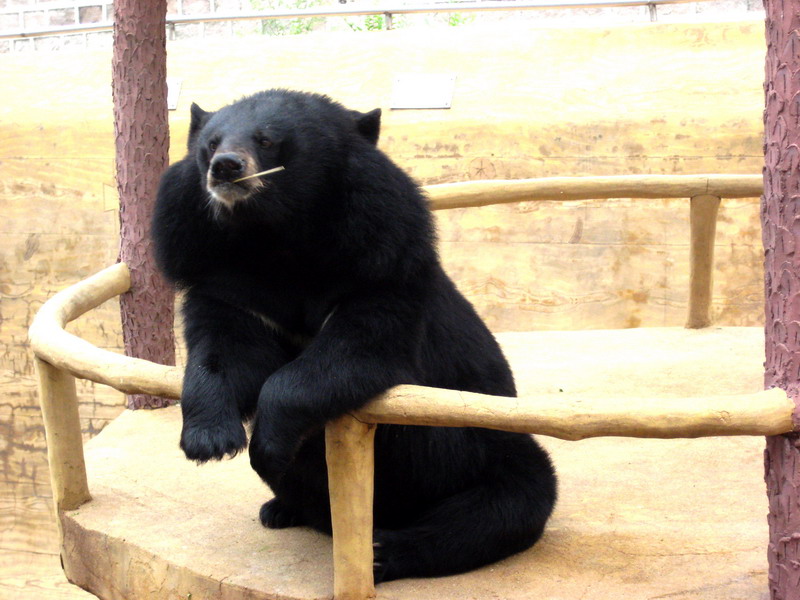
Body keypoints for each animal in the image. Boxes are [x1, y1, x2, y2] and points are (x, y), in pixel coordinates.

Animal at [152, 89, 557, 583]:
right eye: (209, 144)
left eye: (267, 140)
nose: (226, 167)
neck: (274, 238)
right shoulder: (226, 279)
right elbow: (225, 352)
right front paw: (210, 441)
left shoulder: (381, 265)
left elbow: (352, 353)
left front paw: (267, 445)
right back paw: (281, 509)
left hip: (489, 454)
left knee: (493, 513)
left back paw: (383, 551)